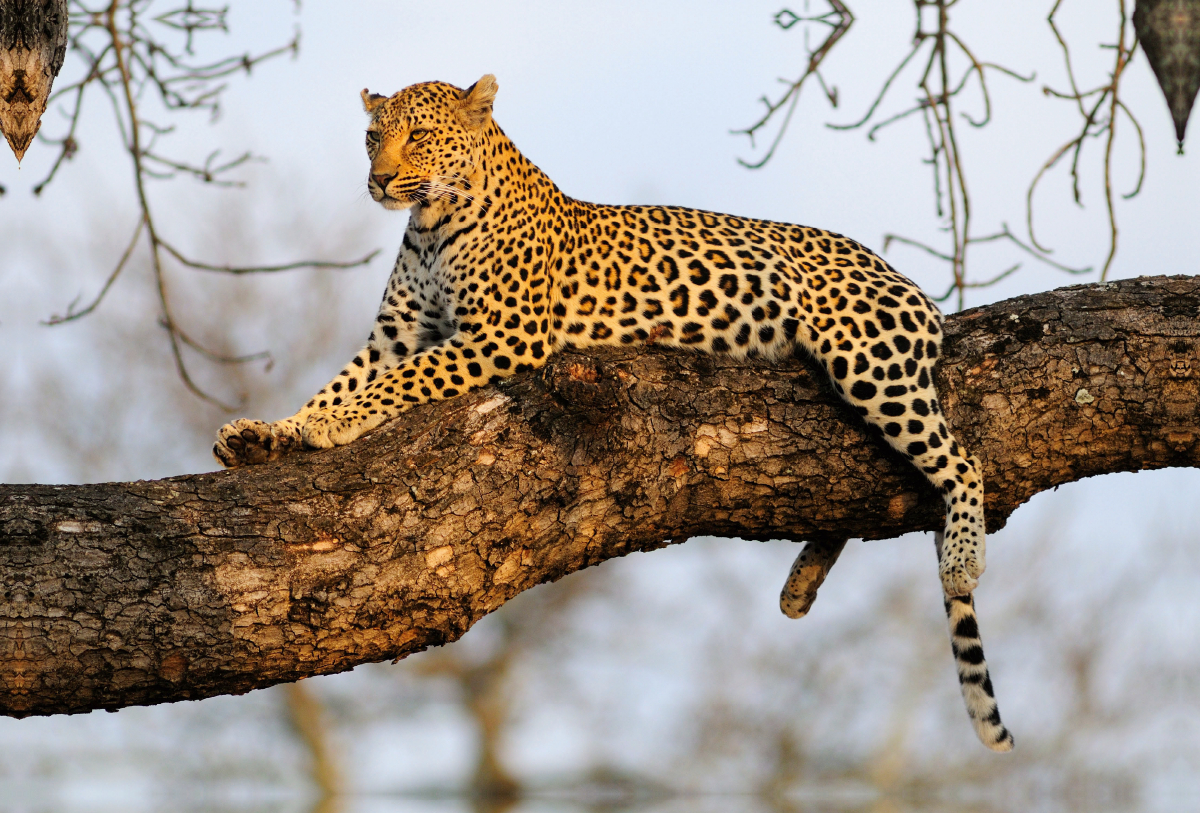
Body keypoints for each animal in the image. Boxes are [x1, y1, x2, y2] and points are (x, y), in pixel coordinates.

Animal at [213, 74, 1012, 753]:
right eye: (373, 135)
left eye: (421, 135)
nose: (380, 179)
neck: (433, 222)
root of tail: (912, 286)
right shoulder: (395, 332)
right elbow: (336, 382)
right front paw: (269, 435)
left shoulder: (501, 336)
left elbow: (401, 381)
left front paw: (329, 425)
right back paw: (800, 585)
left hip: (866, 357)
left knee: (962, 460)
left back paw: (962, 558)